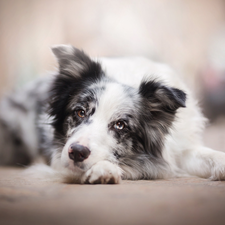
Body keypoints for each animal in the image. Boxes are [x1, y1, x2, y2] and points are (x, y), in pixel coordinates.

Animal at [0, 44, 225, 184]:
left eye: (120, 125)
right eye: (80, 112)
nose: (77, 152)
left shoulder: (180, 147)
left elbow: (207, 154)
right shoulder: (59, 158)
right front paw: (104, 169)